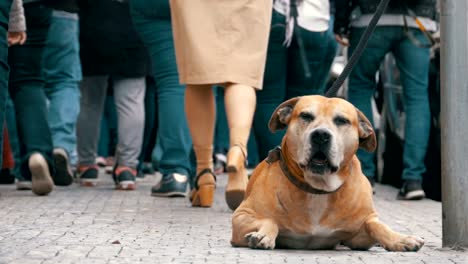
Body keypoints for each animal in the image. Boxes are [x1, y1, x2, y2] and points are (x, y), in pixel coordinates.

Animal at [230, 96, 424, 251]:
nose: (321, 135)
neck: (318, 188)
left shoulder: (357, 236)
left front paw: (400, 239)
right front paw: (263, 235)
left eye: (342, 120)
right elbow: (270, 220)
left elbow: (375, 225)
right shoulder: (242, 216)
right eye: (306, 116)